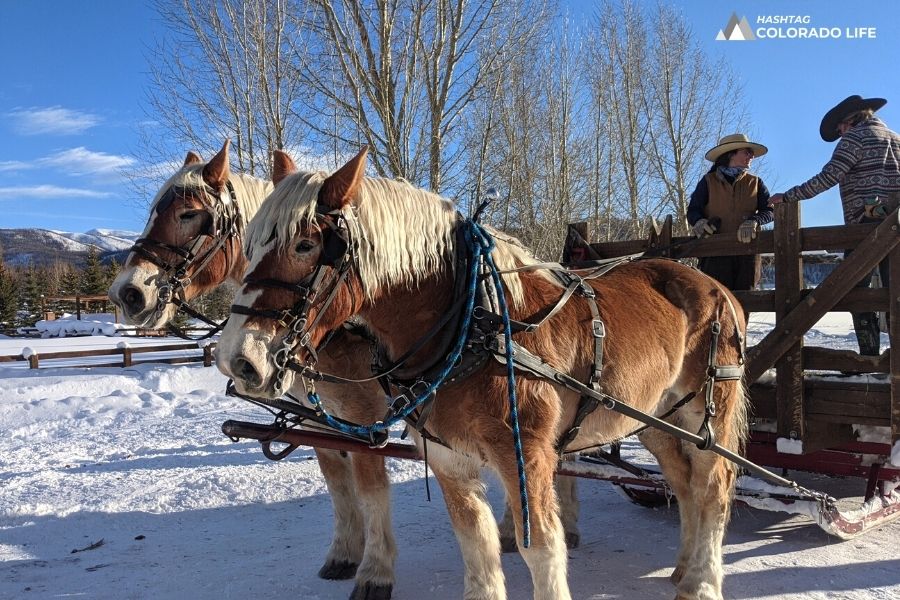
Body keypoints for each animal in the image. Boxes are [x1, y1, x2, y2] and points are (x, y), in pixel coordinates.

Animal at [218, 148, 752, 600]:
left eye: (306, 244)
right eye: (249, 244)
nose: (237, 358)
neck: (474, 322)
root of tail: (714, 285)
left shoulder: (527, 456)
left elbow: (541, 549)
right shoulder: (449, 458)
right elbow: (476, 545)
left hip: (707, 410)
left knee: (715, 484)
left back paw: (702, 582)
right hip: (654, 417)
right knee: (682, 482)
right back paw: (683, 567)